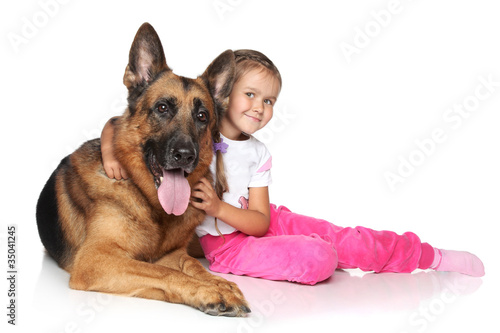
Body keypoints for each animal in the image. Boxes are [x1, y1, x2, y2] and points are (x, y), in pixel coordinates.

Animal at [35, 23, 250, 316]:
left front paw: (219, 283)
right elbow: (164, 273)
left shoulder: (173, 254)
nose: (185, 155)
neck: (152, 204)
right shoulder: (96, 259)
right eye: (162, 107)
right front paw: (208, 290)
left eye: (202, 116)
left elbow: (192, 267)